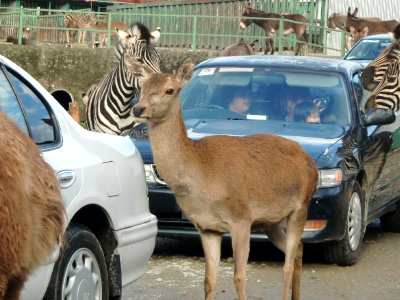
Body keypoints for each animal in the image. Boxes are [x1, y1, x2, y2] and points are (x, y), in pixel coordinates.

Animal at [128, 55, 318, 298]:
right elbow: (209, 280)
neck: (202, 175)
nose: (138, 109)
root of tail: (310, 162)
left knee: (287, 263)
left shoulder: (241, 218)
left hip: (301, 206)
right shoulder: (207, 227)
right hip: (271, 221)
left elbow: (239, 277)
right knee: (298, 250)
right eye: (141, 86)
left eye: (170, 90)